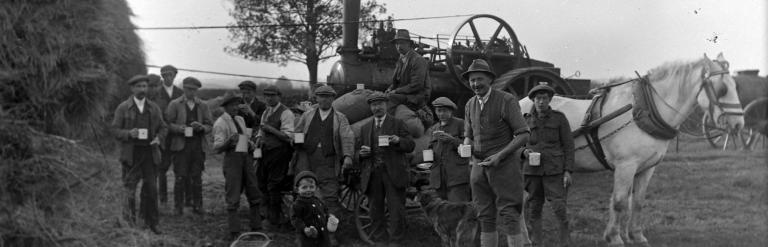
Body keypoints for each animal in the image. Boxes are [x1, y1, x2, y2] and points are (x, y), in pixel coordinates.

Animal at [516, 52, 744, 245]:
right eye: (722, 89)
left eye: (735, 86)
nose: (739, 124)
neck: (641, 111)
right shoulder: (626, 166)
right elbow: (619, 201)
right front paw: (615, 238)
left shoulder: (647, 167)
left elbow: (637, 201)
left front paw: (636, 236)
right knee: (520, 201)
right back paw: (524, 237)